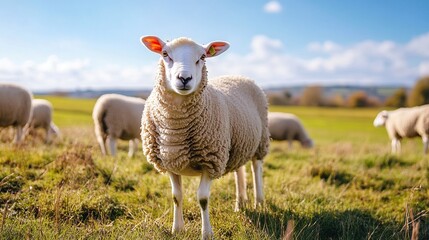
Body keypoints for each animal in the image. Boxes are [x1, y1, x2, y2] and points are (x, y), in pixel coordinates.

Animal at [140, 34, 268, 239]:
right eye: (165, 54)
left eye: (202, 57)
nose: (184, 78)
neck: (175, 131)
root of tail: (239, 76)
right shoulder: (170, 161)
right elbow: (176, 196)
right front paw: (177, 229)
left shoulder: (210, 161)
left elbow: (203, 199)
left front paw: (207, 233)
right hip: (236, 144)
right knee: (239, 170)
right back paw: (240, 204)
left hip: (261, 140)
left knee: (257, 169)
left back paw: (259, 202)